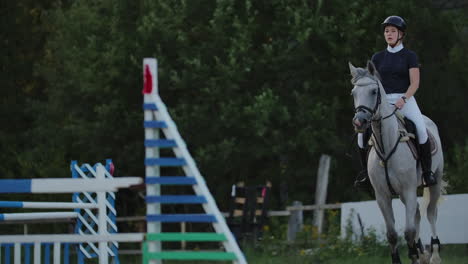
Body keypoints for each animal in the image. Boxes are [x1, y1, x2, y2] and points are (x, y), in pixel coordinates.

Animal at [350, 61, 444, 264]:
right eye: (353, 93)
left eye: (373, 92)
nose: (359, 122)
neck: (386, 146)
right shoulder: (382, 195)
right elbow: (392, 234)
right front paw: (408, 256)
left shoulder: (408, 190)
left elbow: (408, 232)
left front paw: (414, 256)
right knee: (417, 213)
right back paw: (421, 251)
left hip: (435, 181)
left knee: (431, 213)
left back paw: (433, 254)